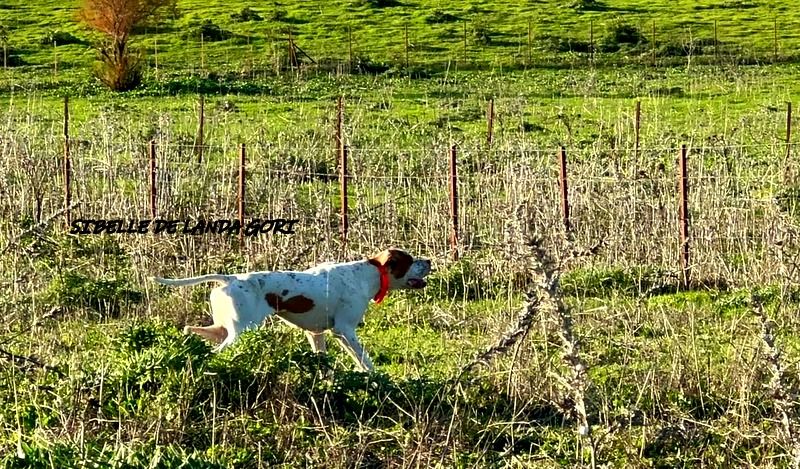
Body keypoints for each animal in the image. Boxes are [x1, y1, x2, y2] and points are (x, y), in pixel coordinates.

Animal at [151, 247, 432, 372]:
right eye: (411, 261)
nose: (429, 260)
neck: (367, 275)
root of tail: (230, 279)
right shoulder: (344, 331)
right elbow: (365, 360)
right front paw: (376, 378)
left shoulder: (316, 334)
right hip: (241, 331)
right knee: (215, 351)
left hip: (223, 328)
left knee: (191, 331)